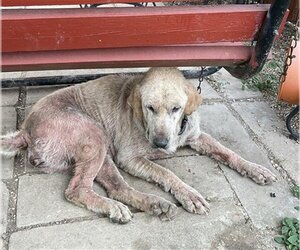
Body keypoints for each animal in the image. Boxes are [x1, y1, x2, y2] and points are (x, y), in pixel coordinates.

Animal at [0, 67, 276, 224]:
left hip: (102, 152)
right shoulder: (131, 158)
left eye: (176, 109)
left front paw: (255, 169)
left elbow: (227, 152)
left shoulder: (196, 136)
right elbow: (166, 173)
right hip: (95, 136)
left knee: (116, 187)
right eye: (149, 107)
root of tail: (25, 130)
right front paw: (188, 194)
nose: (161, 143)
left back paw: (154, 204)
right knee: (78, 190)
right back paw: (119, 207)